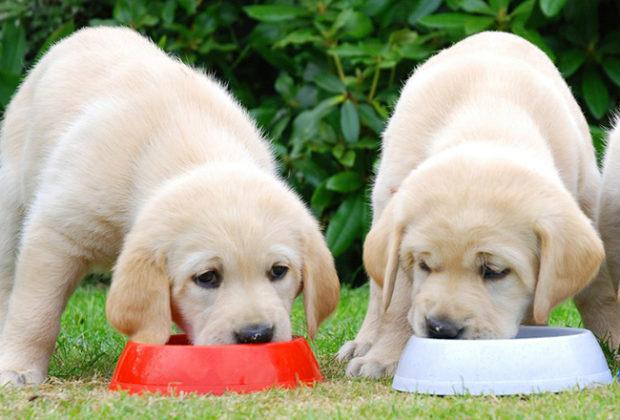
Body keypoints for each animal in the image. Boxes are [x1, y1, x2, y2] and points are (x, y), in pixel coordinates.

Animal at [0, 27, 340, 388]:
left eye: (278, 271)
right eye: (207, 277)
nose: (256, 335)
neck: (191, 148)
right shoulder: (57, 231)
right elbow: (36, 309)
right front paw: (18, 368)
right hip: (10, 204)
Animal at [340, 29, 620, 378]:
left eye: (494, 272)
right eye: (424, 266)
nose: (441, 329)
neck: (487, 118)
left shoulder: (586, 202)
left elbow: (599, 290)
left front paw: (613, 339)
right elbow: (401, 299)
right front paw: (385, 356)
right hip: (381, 205)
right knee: (380, 293)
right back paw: (363, 343)